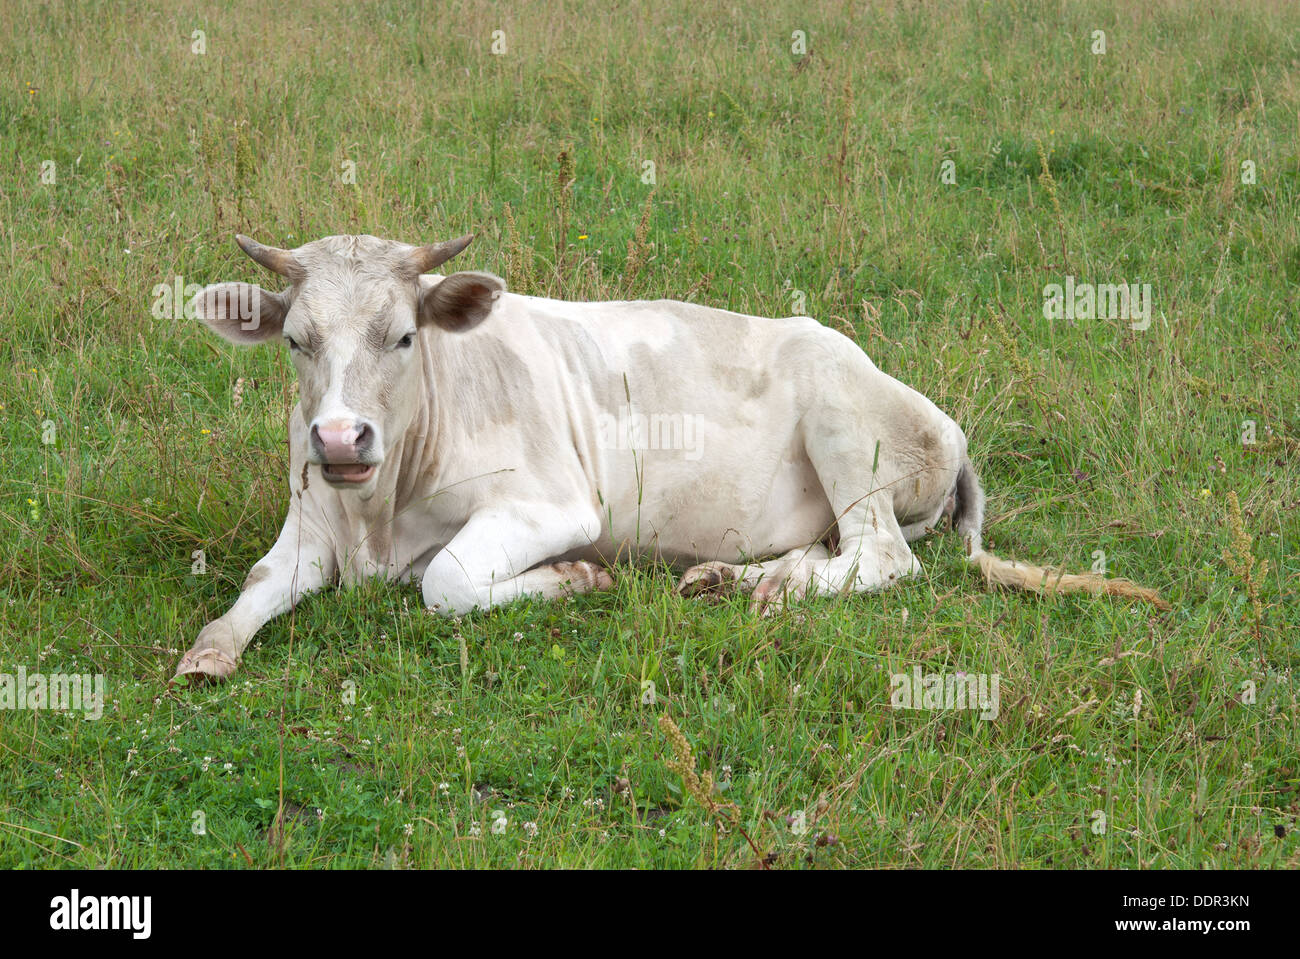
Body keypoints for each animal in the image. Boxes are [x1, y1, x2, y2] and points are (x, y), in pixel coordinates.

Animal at [172, 231, 1170, 680]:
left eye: (405, 335)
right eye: (295, 341)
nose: (340, 438)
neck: (376, 518)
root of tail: (945, 422)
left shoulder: (555, 502)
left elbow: (447, 580)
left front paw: (574, 578)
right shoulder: (310, 521)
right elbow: (254, 583)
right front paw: (209, 652)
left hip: (846, 427)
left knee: (883, 557)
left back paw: (771, 590)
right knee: (836, 551)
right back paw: (737, 579)